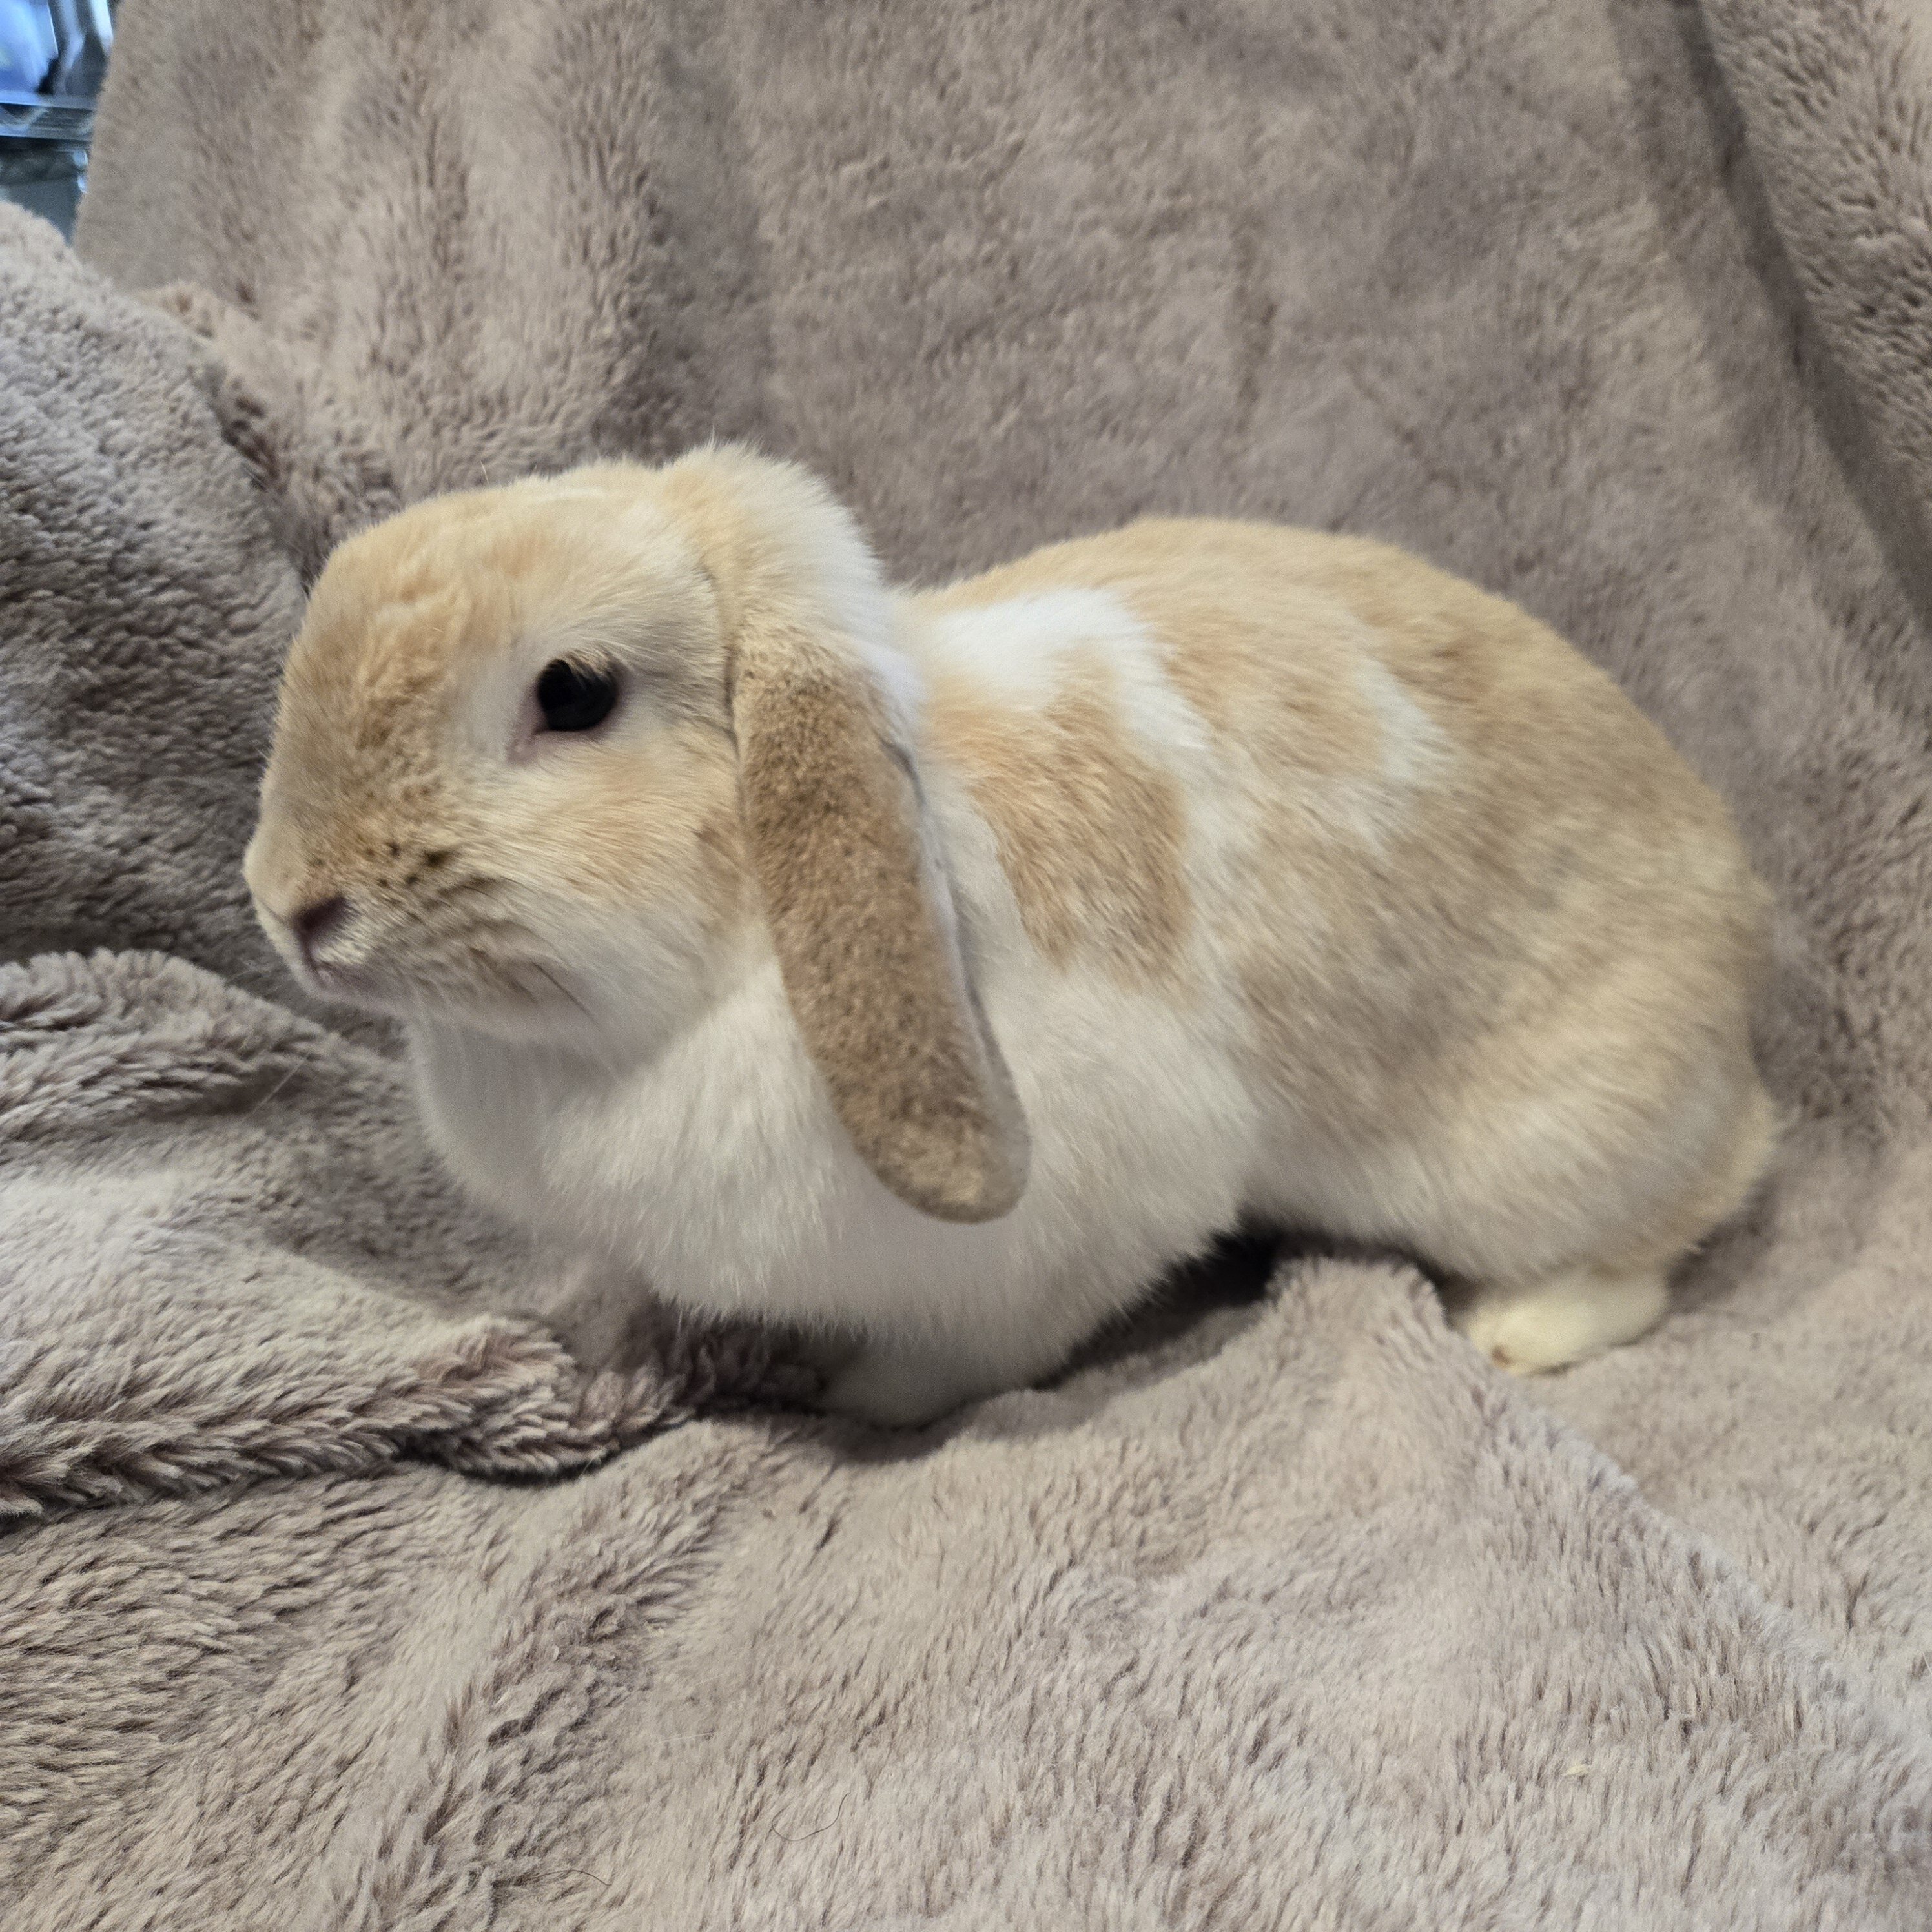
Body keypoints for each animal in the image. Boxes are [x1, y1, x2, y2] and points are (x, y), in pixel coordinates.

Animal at [243, 443, 1777, 1427]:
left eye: (571, 693)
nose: (292, 902)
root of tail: (1739, 960)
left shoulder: (1075, 1225)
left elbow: (968, 1356)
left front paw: (858, 1401)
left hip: (1546, 1150)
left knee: (1682, 1213)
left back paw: (1519, 1329)